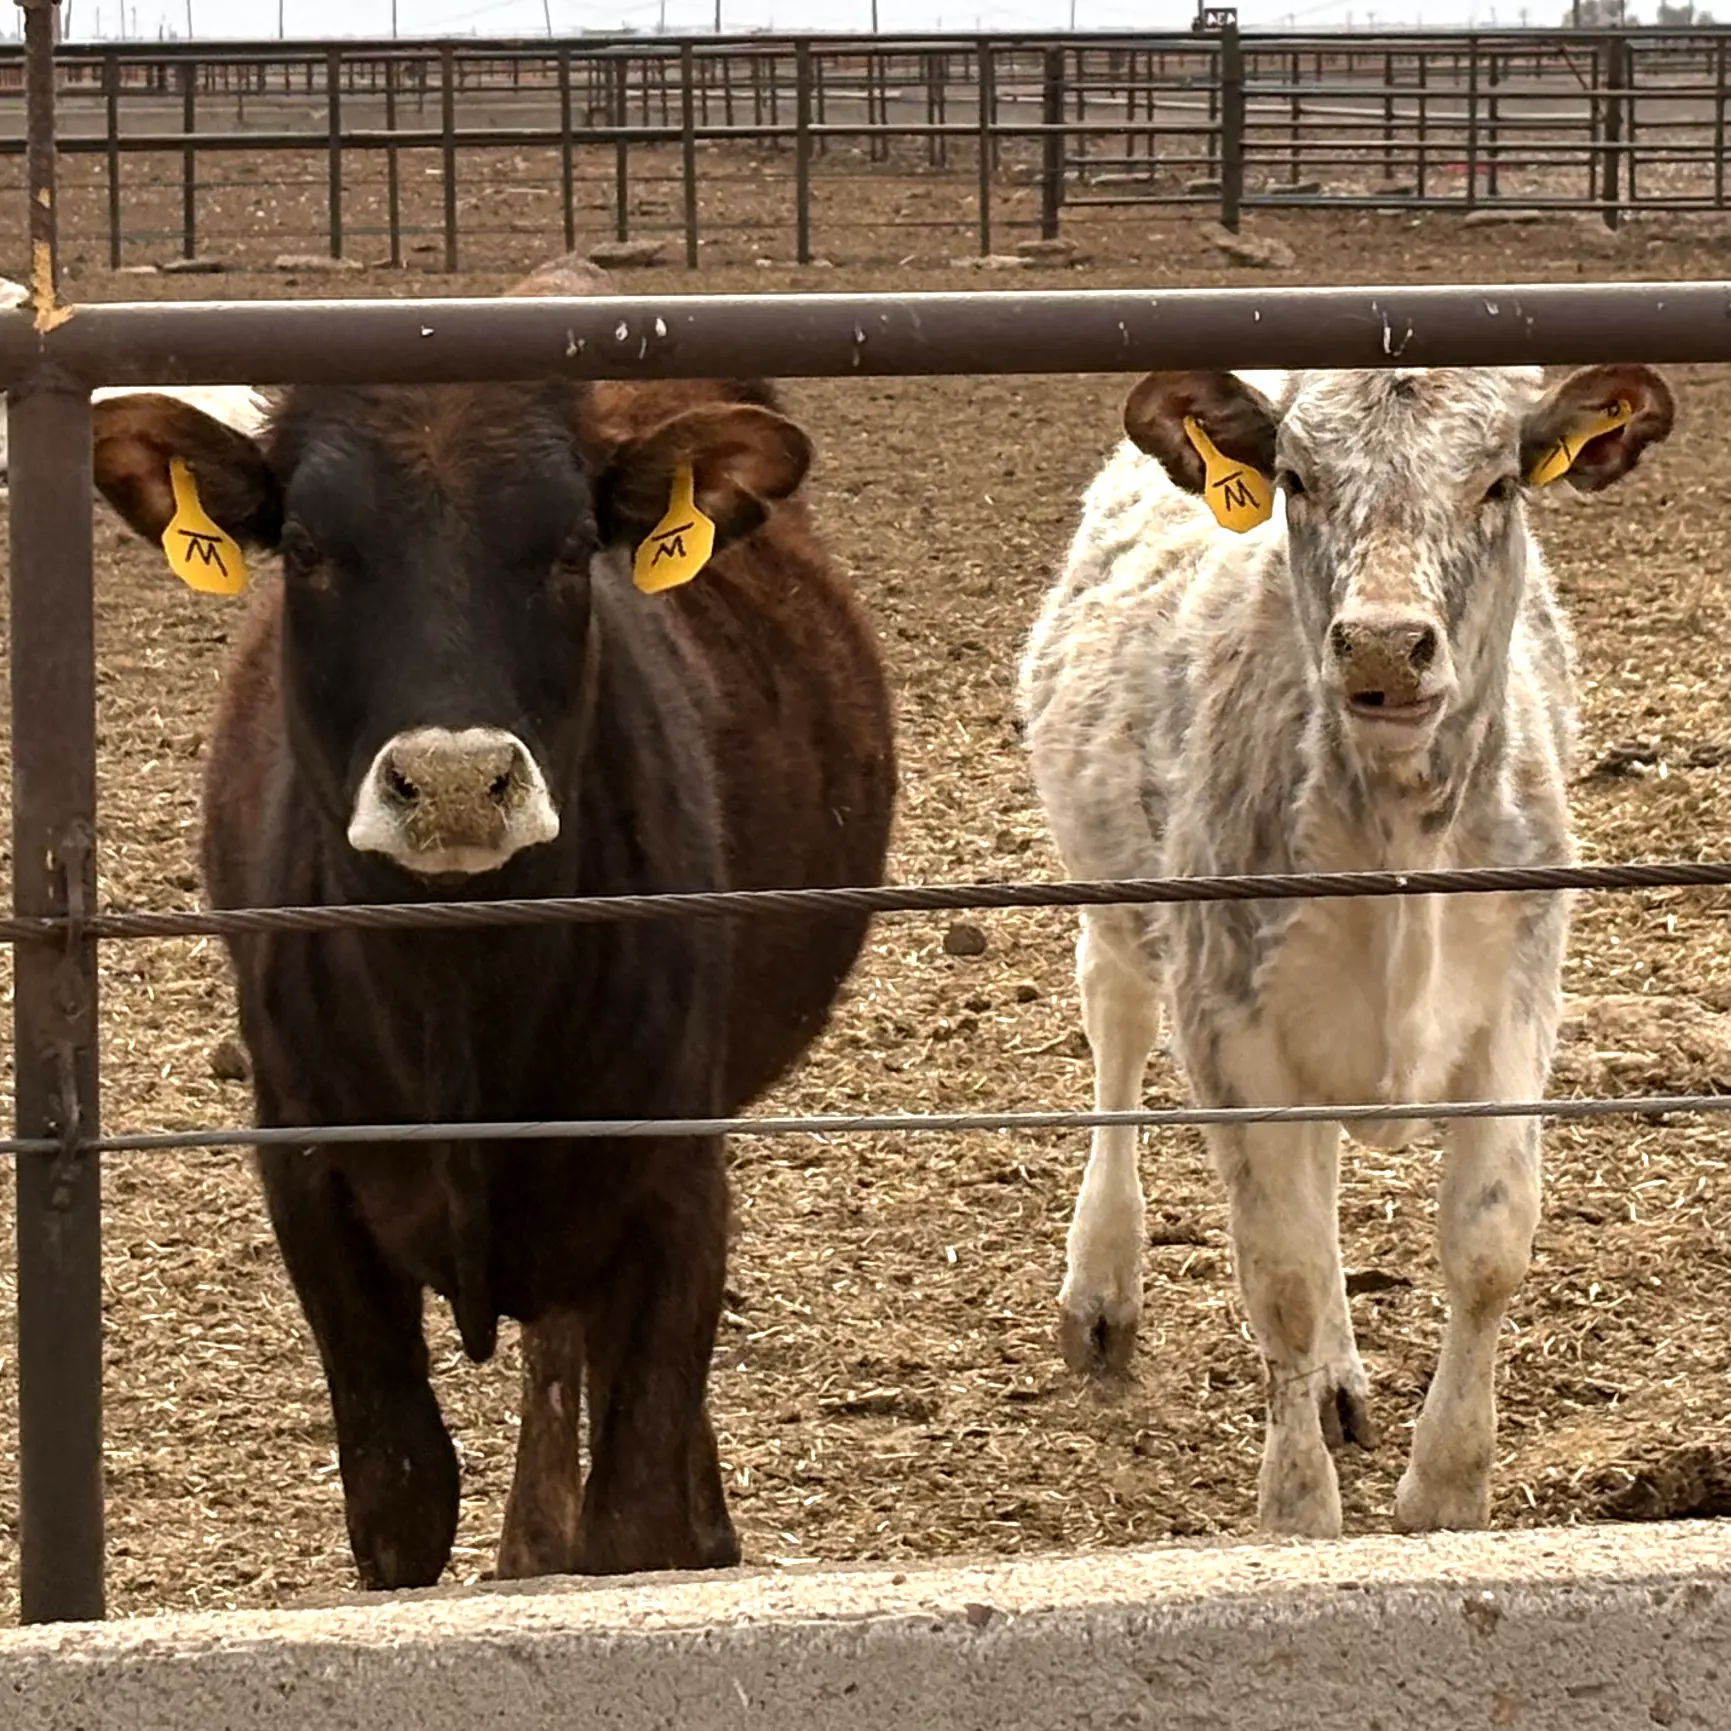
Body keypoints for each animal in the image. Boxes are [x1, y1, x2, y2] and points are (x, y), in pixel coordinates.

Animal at [90, 253, 897, 1588]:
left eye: (572, 548)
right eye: (305, 546)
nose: (458, 778)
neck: (458, 988)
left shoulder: (672, 1187)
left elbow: (633, 1514)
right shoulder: (308, 1179)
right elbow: (401, 1495)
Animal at [1017, 363, 1673, 1537]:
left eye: (1499, 481)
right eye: (1294, 478)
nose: (1379, 645)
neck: (1398, 841)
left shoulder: (1517, 1005)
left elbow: (1487, 1244)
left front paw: (1445, 1488)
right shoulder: (1228, 1021)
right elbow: (1275, 1273)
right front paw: (1296, 1511)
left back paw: (1336, 1381)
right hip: (1118, 899)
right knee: (1115, 1026)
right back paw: (1101, 1295)